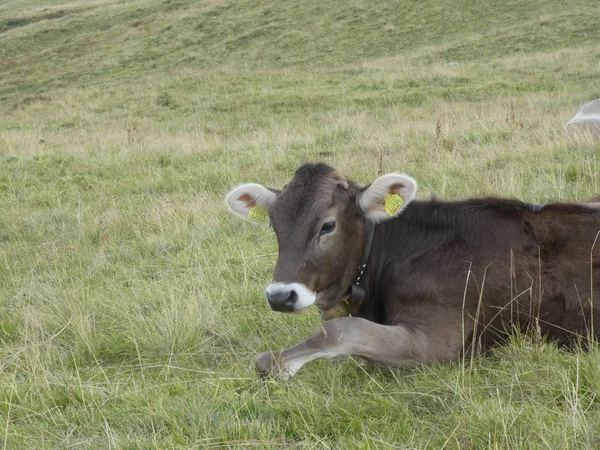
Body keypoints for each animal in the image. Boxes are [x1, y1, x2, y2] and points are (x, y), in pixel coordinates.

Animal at [225, 163, 600, 378]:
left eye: (327, 225)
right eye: (274, 225)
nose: (280, 296)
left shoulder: (440, 342)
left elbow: (341, 331)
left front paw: (276, 363)